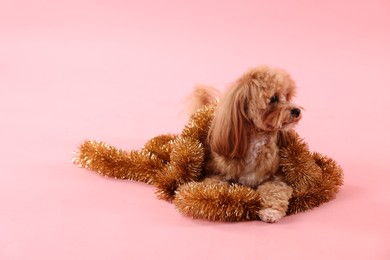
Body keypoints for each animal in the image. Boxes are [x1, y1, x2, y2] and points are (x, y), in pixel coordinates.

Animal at [192, 65, 302, 221]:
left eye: (286, 96)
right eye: (273, 98)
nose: (296, 110)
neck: (256, 140)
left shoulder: (277, 177)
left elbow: (275, 191)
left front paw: (270, 211)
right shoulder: (215, 174)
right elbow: (214, 186)